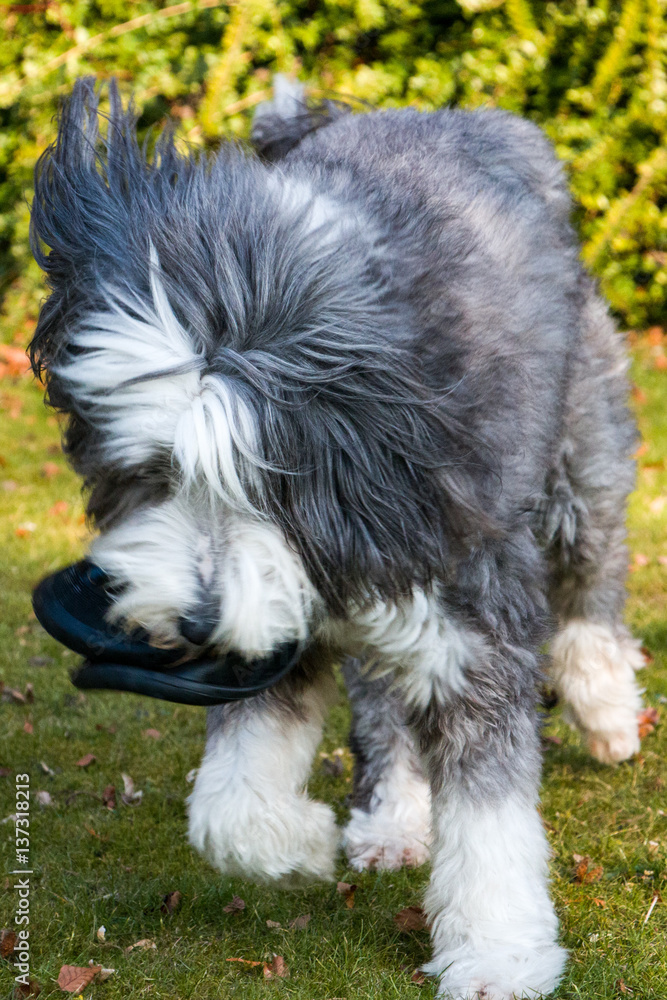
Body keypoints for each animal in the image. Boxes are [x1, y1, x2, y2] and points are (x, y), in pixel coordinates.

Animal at [31, 80, 648, 1000]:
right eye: (151, 471)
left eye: (268, 483)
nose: (197, 625)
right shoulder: (278, 609)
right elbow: (229, 806)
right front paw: (300, 843)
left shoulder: (468, 603)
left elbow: (491, 808)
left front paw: (496, 951)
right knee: (385, 701)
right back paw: (392, 818)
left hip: (582, 453)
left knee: (591, 586)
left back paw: (607, 710)